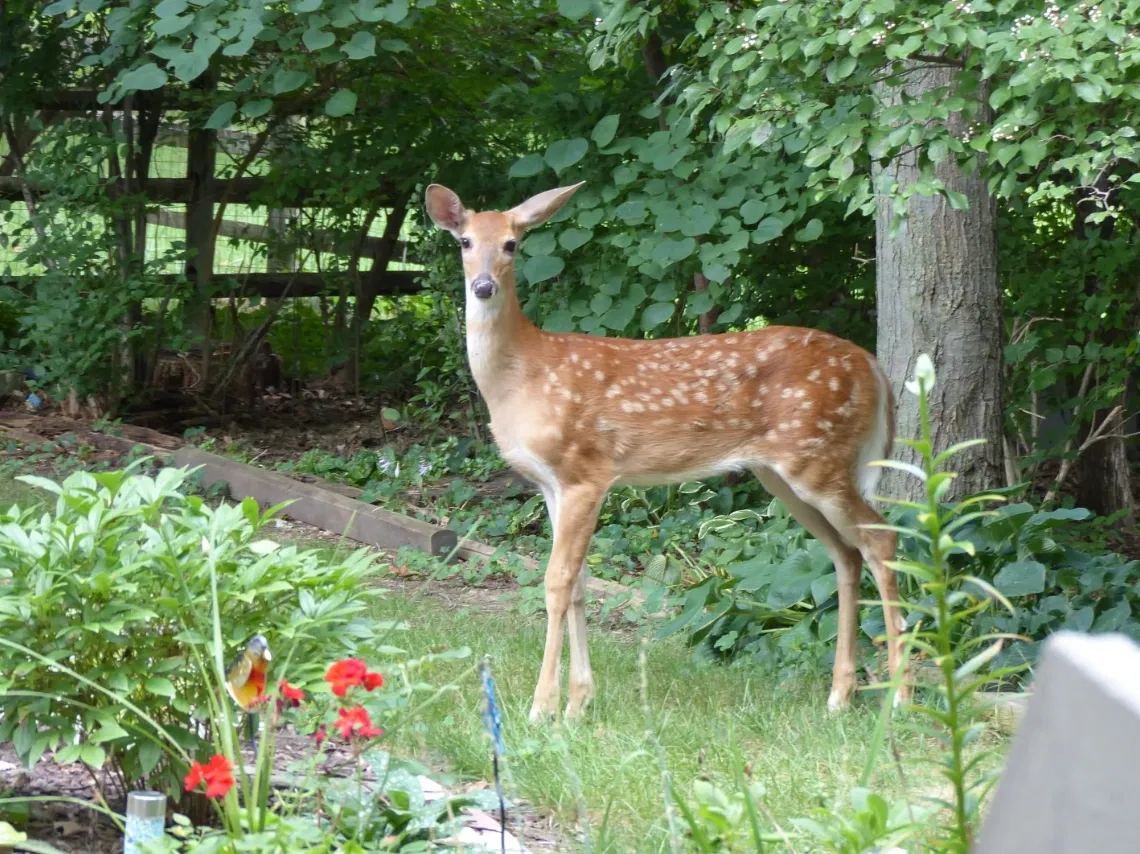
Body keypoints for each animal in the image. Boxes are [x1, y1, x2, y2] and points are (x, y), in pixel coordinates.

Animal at [425, 181, 912, 723]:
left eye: (512, 243)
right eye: (465, 241)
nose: (484, 286)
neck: (521, 376)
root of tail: (873, 366)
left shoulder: (586, 472)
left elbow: (556, 583)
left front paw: (542, 708)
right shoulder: (550, 483)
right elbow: (578, 585)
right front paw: (578, 704)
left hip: (819, 458)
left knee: (882, 540)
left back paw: (901, 698)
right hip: (784, 474)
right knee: (846, 554)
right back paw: (839, 696)